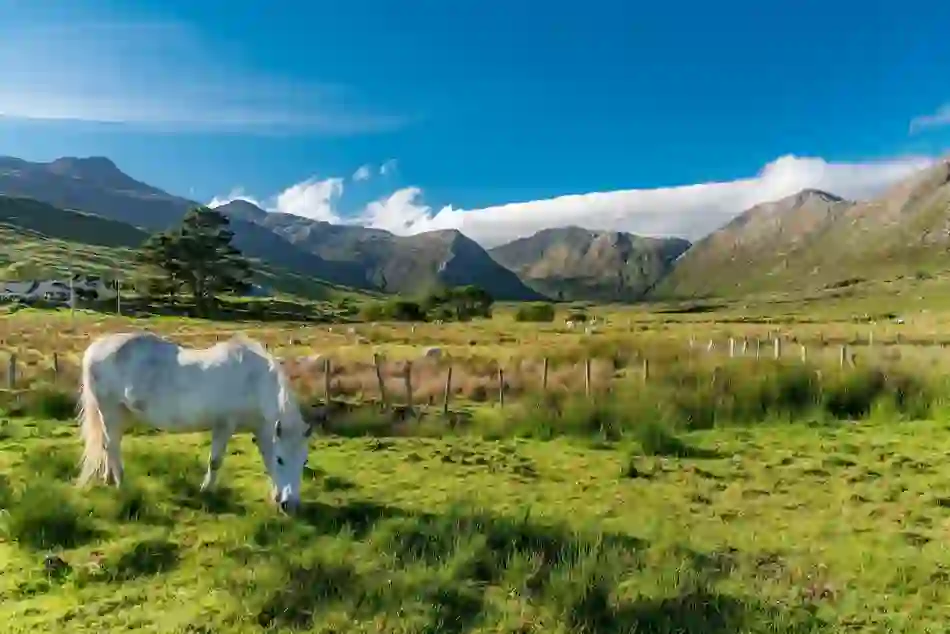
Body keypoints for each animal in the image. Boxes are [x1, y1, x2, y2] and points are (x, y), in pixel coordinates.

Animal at [76, 331, 323, 513]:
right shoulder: (224, 425)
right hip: (109, 411)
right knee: (112, 445)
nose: (290, 505)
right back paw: (121, 483)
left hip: (119, 414)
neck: (254, 381)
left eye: (304, 461)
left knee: (109, 444)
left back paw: (109, 478)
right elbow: (216, 461)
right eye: (282, 459)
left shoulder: (263, 429)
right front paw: (206, 490)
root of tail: (95, 347)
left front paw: (275, 494)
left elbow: (266, 460)